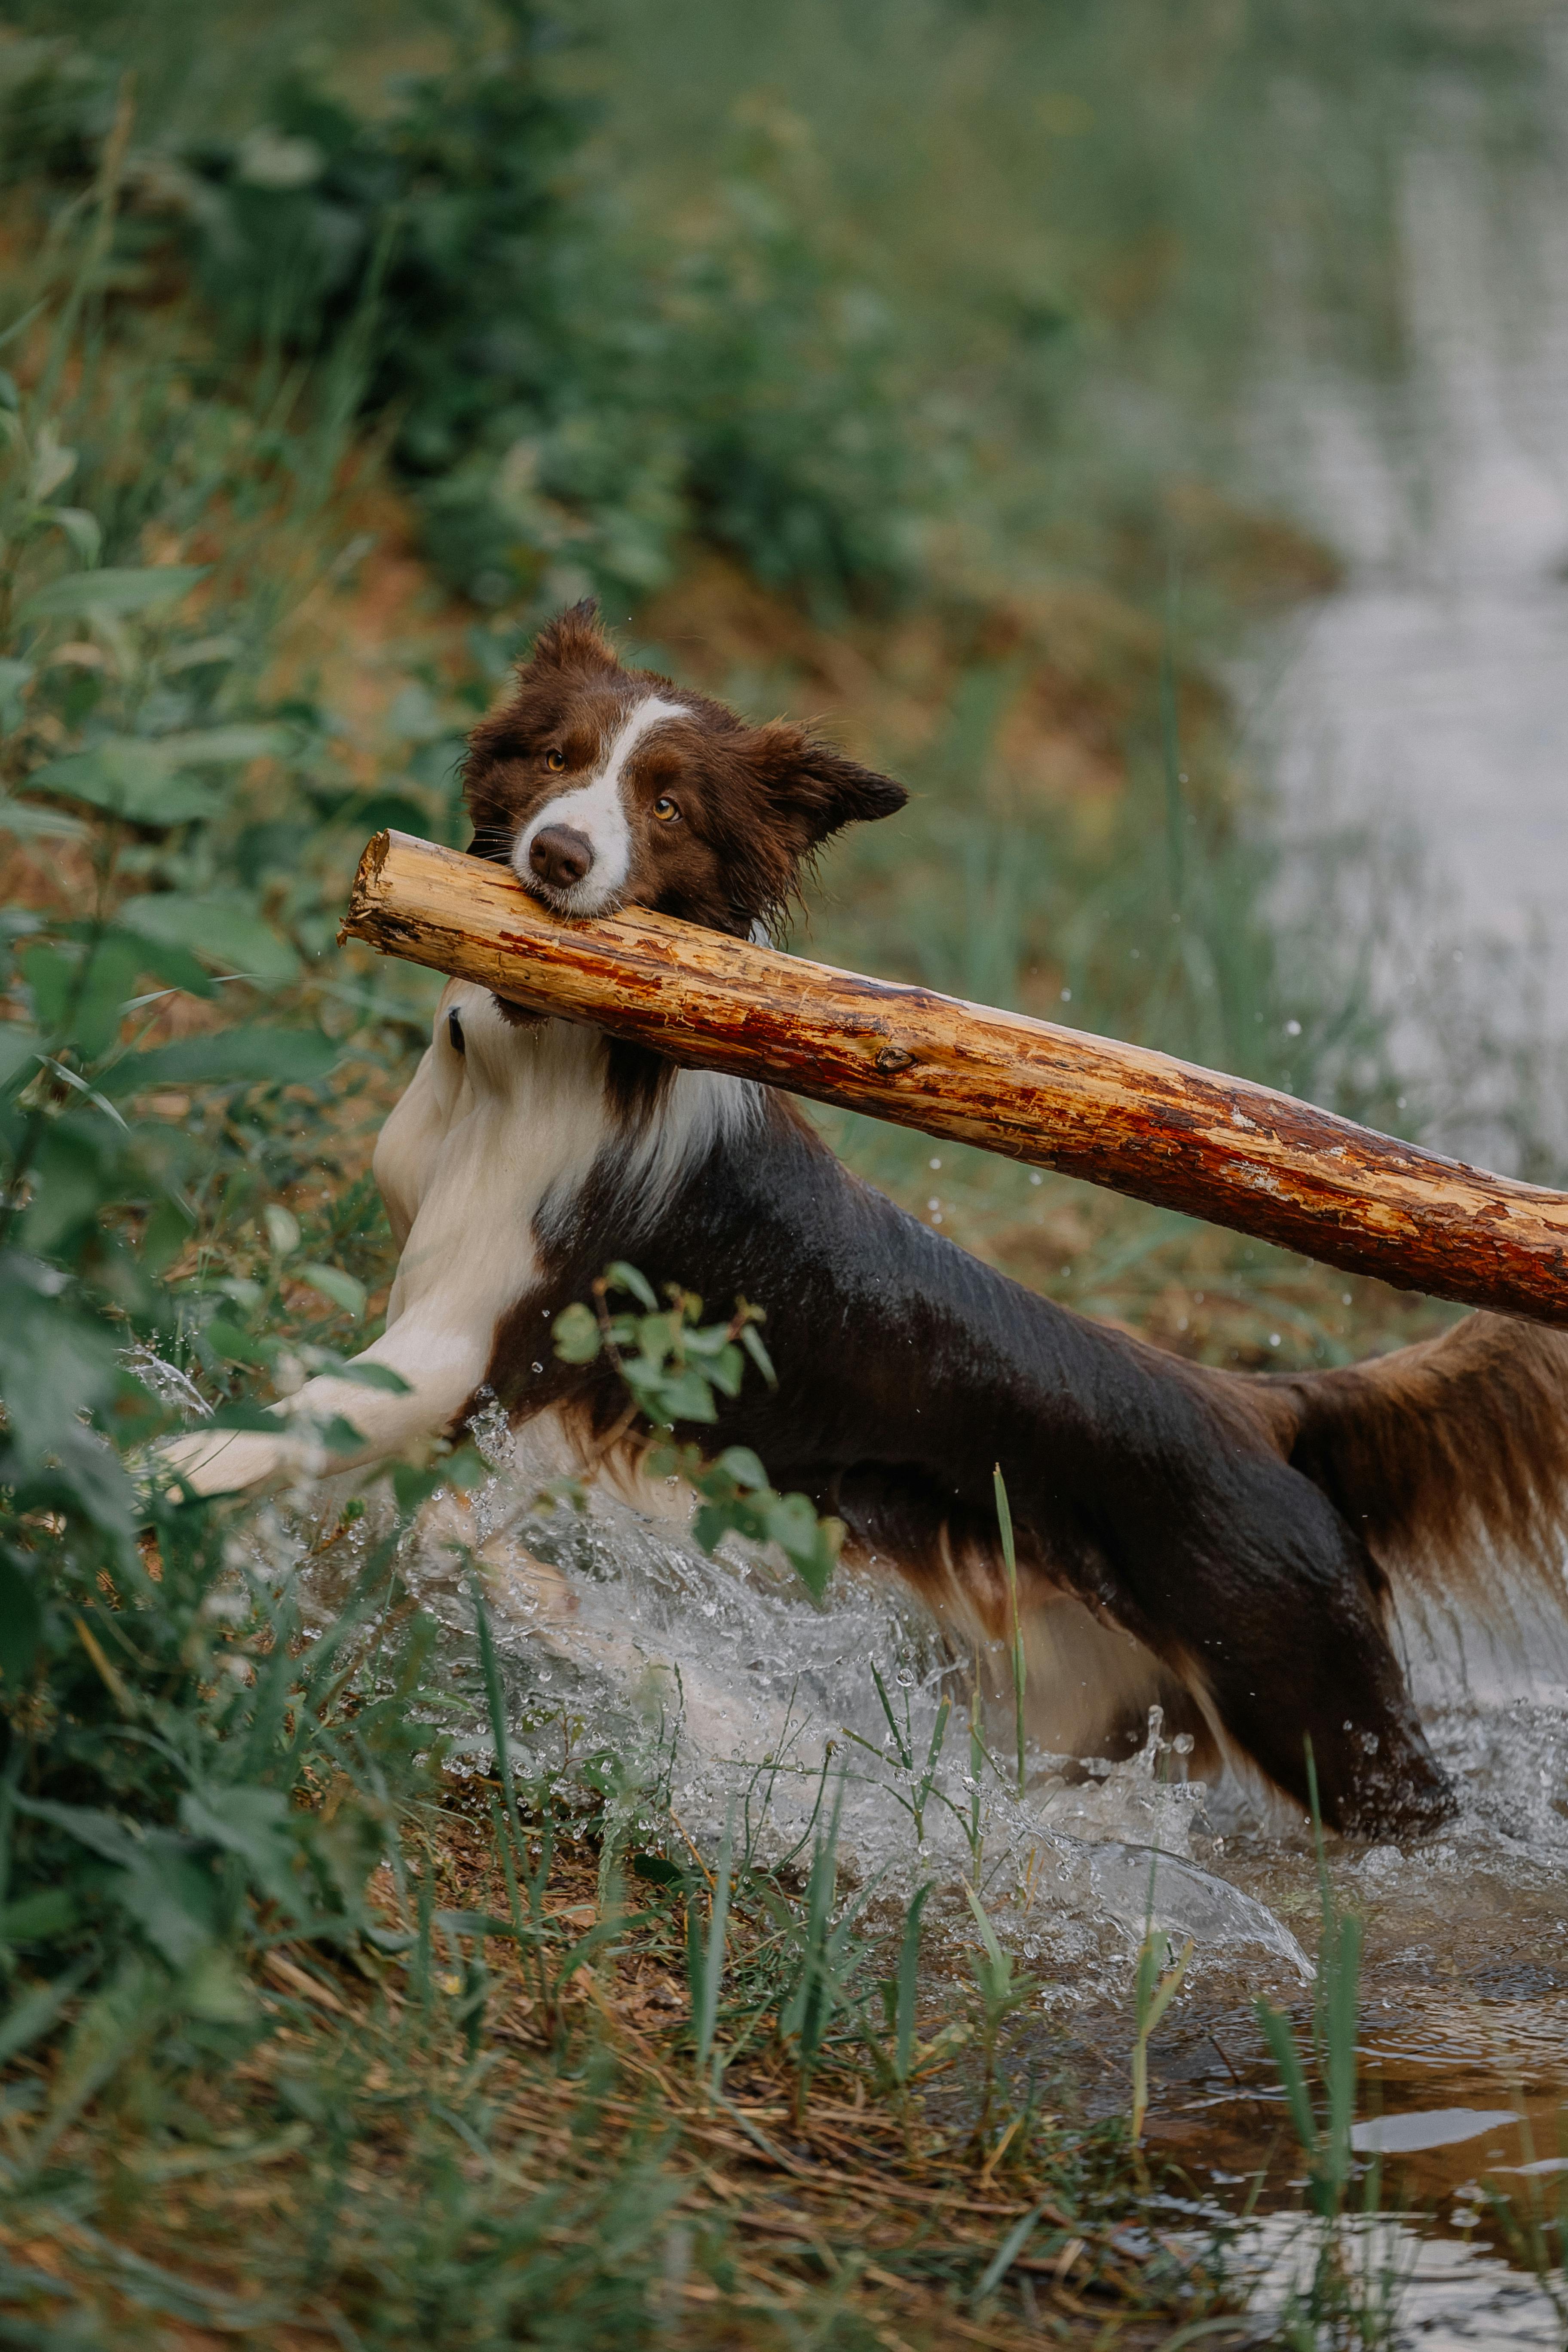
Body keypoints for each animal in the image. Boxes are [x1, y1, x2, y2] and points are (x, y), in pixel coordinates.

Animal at [169, 597, 1568, 1825]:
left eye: (666, 806)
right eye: (558, 759)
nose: (559, 857)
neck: (543, 1053)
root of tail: (1268, 1410)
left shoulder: (476, 1341)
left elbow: (288, 1427)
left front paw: (153, 1488)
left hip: (1314, 1701)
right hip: (1078, 1693)